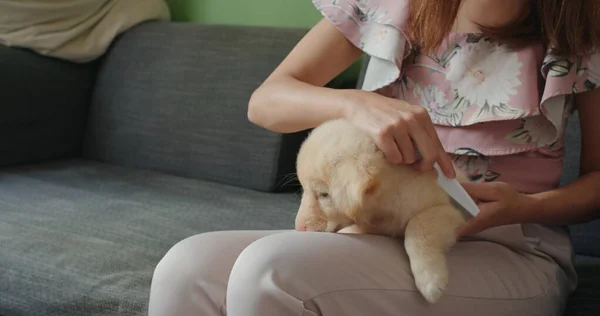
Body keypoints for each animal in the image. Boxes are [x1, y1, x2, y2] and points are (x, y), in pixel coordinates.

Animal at [296, 118, 468, 304]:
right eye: (305, 189)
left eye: (323, 194)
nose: (298, 228)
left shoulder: (448, 209)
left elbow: (418, 224)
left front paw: (430, 279)